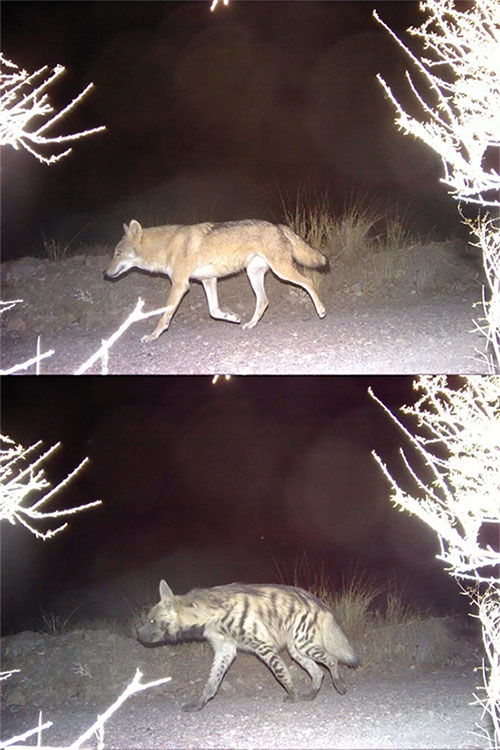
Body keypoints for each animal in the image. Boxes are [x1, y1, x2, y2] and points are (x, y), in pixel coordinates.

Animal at [105, 219, 327, 343]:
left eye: (118, 254)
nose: (105, 273)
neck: (166, 246)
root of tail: (277, 225)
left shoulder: (179, 285)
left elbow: (163, 317)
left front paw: (152, 337)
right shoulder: (208, 281)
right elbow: (214, 311)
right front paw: (232, 317)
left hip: (282, 272)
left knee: (309, 282)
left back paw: (321, 310)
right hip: (254, 275)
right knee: (264, 301)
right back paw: (250, 324)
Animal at [137, 579, 361, 712]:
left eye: (151, 620)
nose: (137, 633)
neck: (209, 617)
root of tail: (319, 602)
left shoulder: (263, 645)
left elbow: (280, 672)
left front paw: (292, 695)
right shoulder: (225, 648)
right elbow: (212, 680)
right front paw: (198, 704)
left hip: (303, 641)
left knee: (330, 659)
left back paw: (339, 685)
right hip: (296, 647)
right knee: (317, 671)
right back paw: (311, 694)